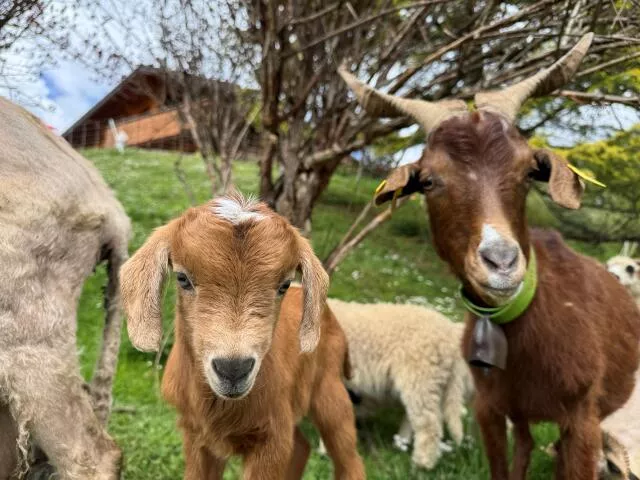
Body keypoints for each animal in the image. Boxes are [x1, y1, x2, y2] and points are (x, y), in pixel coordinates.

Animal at [119, 194, 365, 480]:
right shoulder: (195, 435)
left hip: (330, 390)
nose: (233, 369)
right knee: (302, 447)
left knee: (348, 457)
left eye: (284, 284)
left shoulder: (271, 439)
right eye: (182, 278)